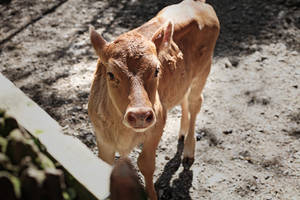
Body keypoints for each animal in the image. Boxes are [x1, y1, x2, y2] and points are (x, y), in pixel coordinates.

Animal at [88, 0, 219, 198]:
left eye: (157, 70)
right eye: (111, 74)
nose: (140, 115)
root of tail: (198, 4)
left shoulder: (158, 123)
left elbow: (146, 164)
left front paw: (152, 194)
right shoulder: (102, 138)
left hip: (204, 70)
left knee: (195, 103)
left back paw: (189, 151)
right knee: (184, 98)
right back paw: (182, 132)